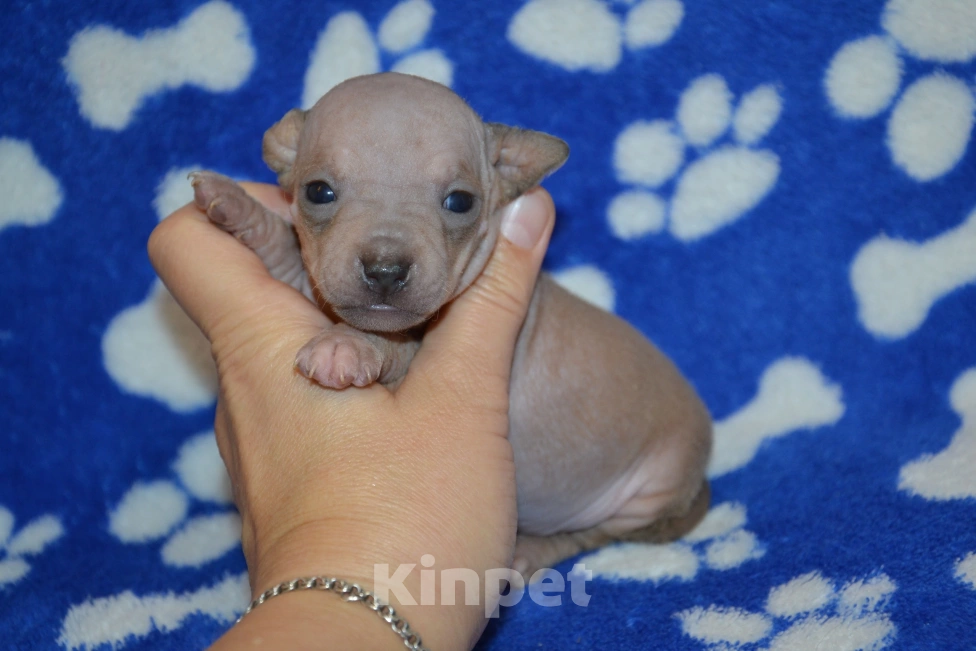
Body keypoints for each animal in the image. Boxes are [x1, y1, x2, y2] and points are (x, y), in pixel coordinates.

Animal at [187, 71, 712, 580]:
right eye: (318, 192)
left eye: (460, 201)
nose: (385, 270)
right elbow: (290, 257)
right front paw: (236, 205)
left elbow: (393, 343)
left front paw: (350, 346)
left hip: (652, 490)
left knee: (594, 534)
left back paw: (532, 550)